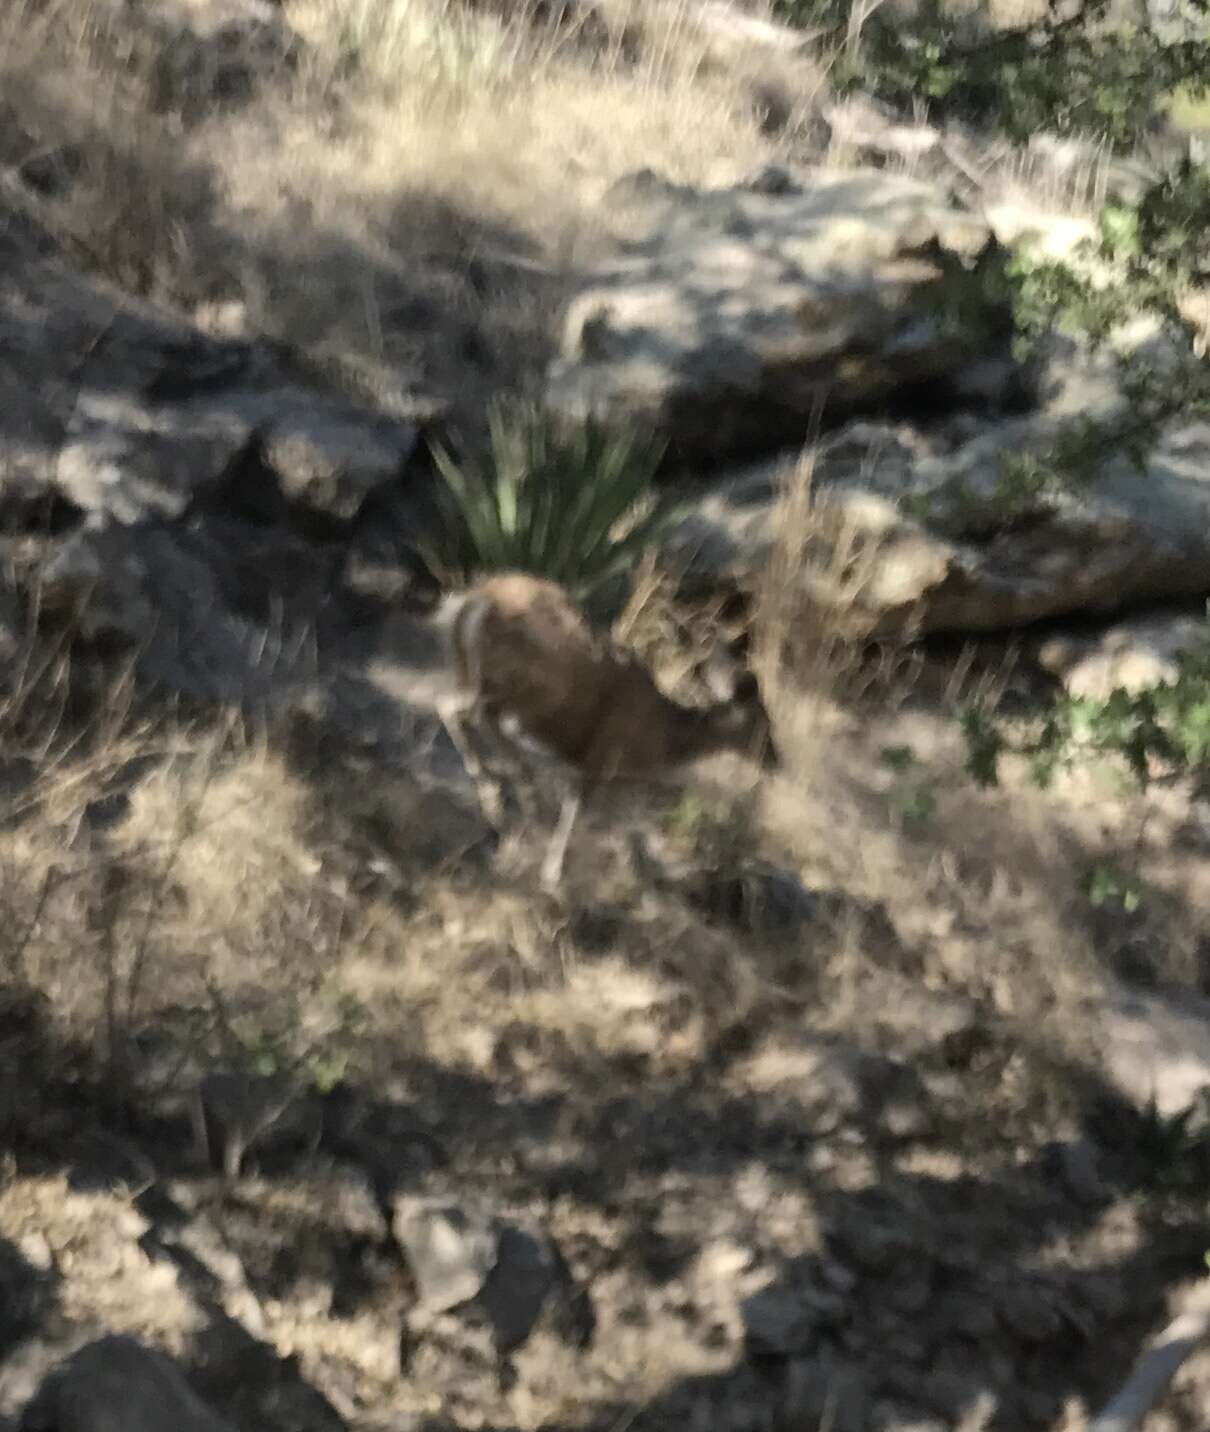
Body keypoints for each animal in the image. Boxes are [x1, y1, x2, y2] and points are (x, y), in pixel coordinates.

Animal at [429, 567, 778, 882]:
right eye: (765, 723)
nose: (776, 759)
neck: (666, 735)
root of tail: (476, 601)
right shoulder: (607, 760)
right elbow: (595, 817)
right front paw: (554, 873)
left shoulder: (601, 768)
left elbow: (615, 824)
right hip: (520, 687)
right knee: (469, 712)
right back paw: (515, 798)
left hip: (472, 673)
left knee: (454, 707)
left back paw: (503, 802)